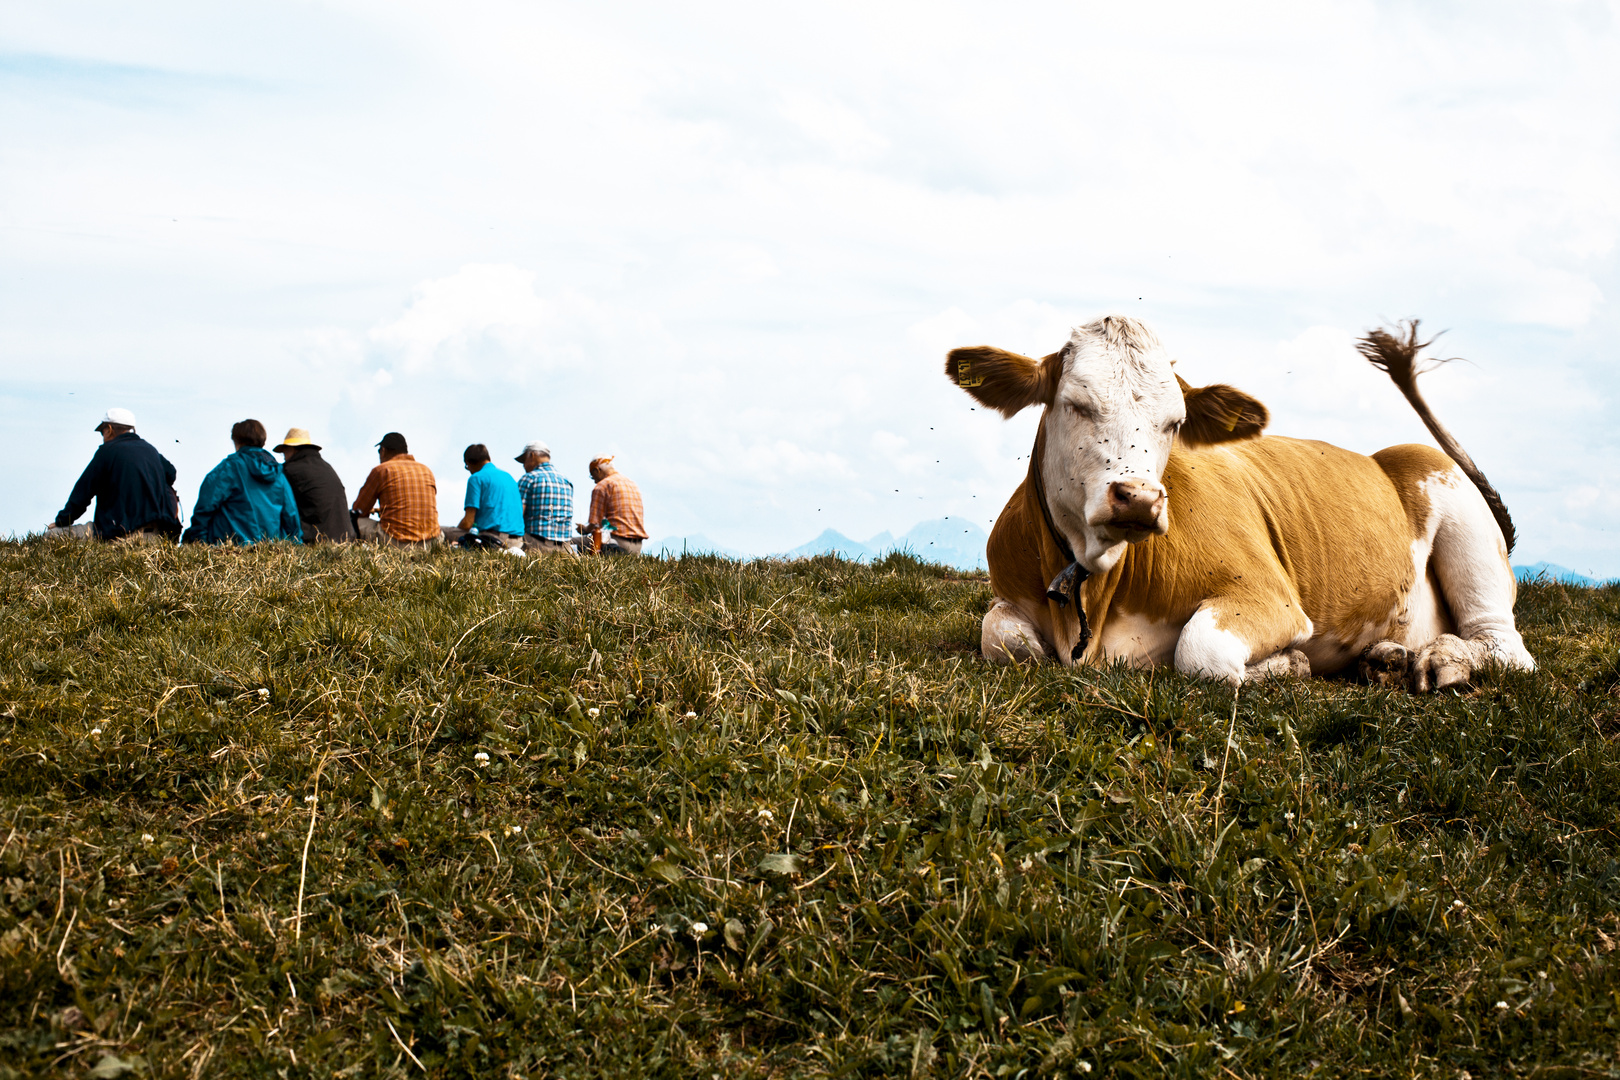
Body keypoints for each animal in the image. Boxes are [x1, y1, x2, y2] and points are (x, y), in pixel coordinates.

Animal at [952, 314, 1535, 693]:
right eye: (1075, 404)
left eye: (1176, 422)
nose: (1139, 498)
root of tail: (1380, 455)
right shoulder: (1009, 597)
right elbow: (1005, 640)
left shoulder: (1269, 596)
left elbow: (1200, 652)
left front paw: (1290, 663)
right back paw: (1389, 657)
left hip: (1451, 501)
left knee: (1504, 647)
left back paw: (1442, 659)